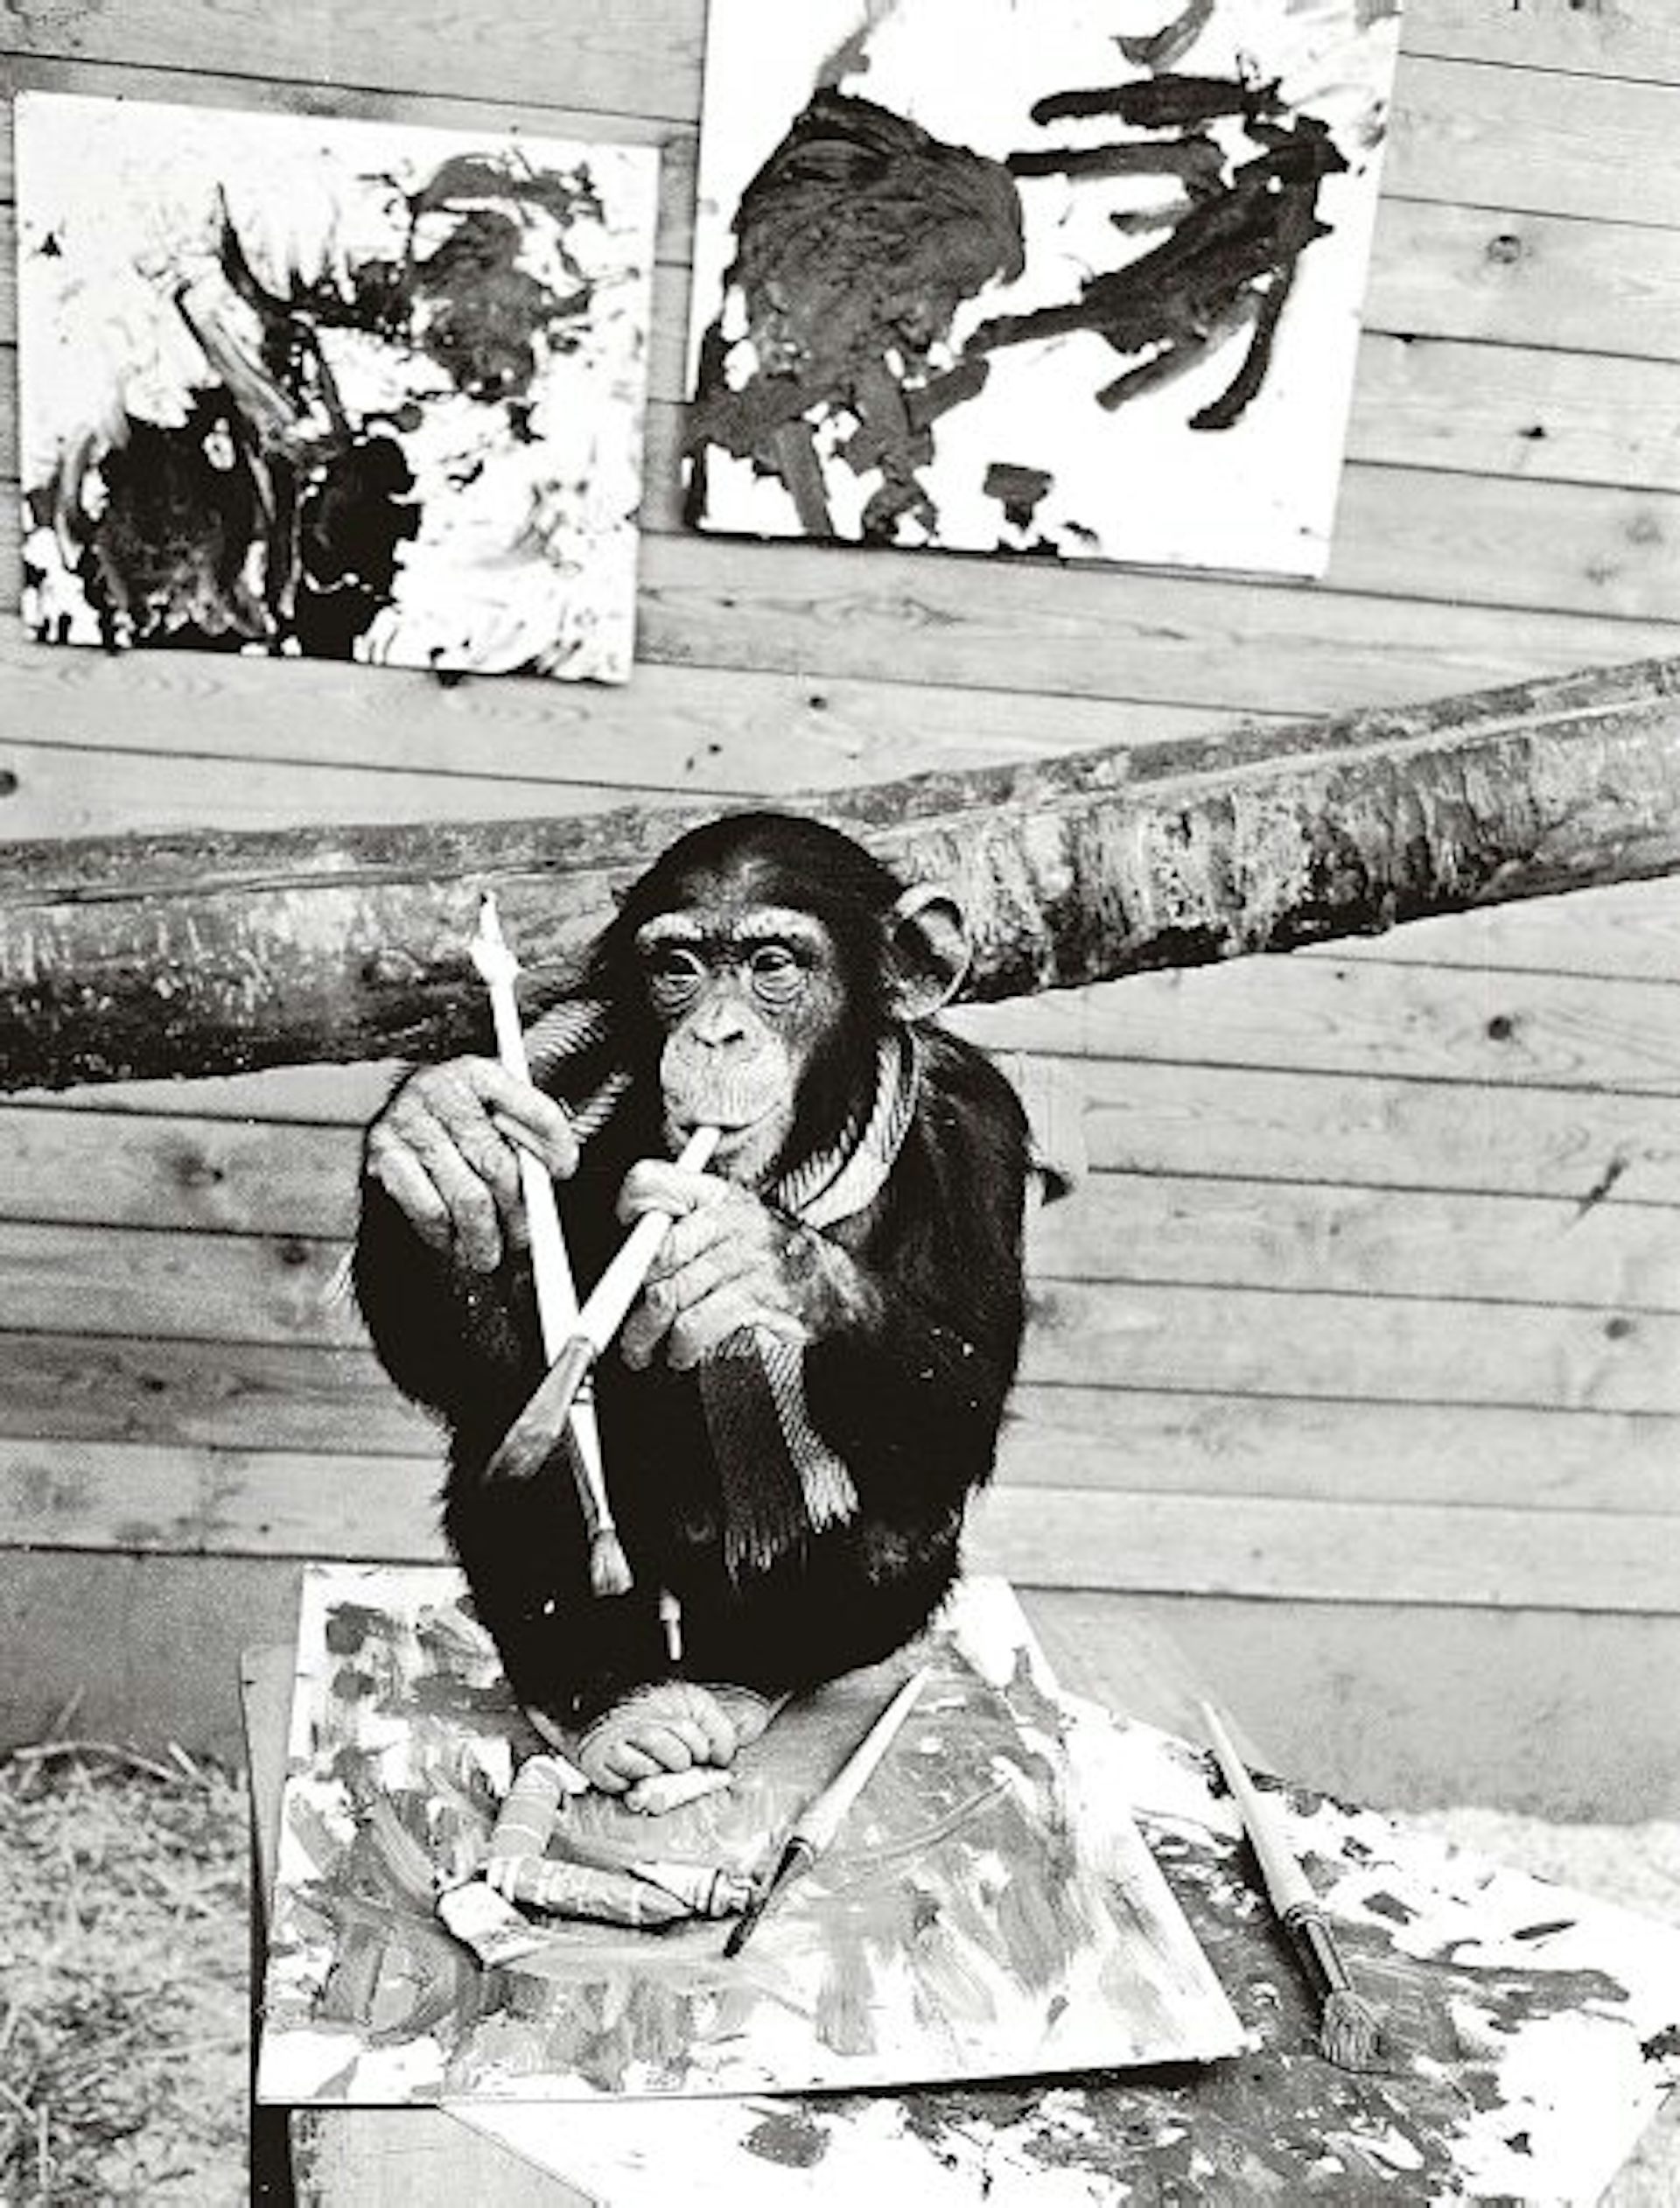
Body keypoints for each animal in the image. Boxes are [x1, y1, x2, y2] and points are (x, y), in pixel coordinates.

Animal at [354, 811, 1032, 1796]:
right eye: (677, 968)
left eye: (772, 964)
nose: (716, 1035)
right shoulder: (551, 1055)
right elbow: (493, 1366)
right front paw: (442, 1132)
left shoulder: (982, 1125)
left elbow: (968, 1398)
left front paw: (766, 1262)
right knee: (528, 1444)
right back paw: (616, 1709)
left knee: (906, 1516)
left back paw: (742, 1683)